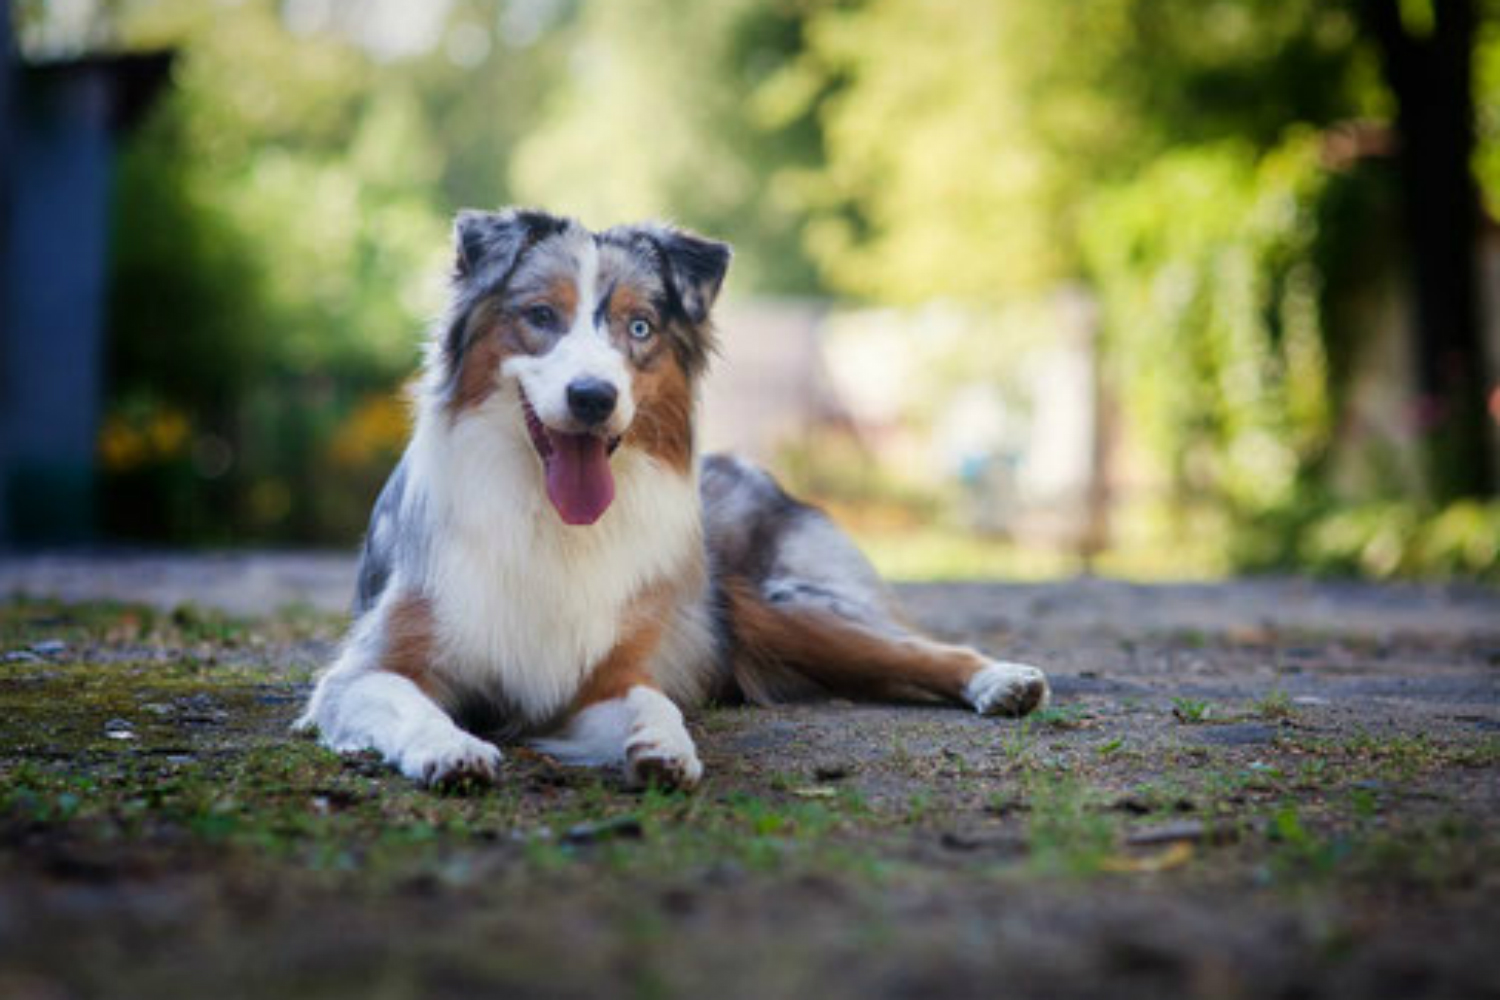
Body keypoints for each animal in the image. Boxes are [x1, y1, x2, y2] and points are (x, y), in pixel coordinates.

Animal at [289, 209, 1044, 791]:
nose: (593, 397)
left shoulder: (607, 672)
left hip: (778, 605)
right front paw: (451, 746)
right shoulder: (364, 670)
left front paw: (665, 745)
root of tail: (746, 467)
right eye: (541, 316)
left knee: (914, 648)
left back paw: (1003, 680)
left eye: (641, 328)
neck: (545, 513)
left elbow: (654, 702)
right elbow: (411, 705)